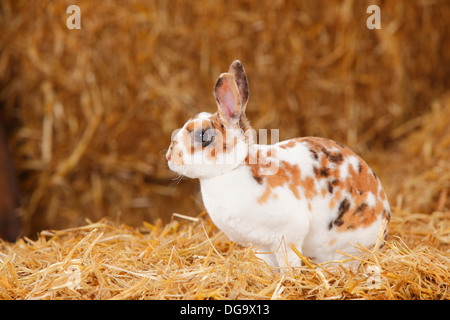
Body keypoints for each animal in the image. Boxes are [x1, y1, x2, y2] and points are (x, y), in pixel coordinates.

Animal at [166, 59, 390, 268]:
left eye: (203, 135)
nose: (169, 157)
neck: (234, 168)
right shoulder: (260, 244)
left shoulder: (287, 235)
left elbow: (288, 262)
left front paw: (288, 278)